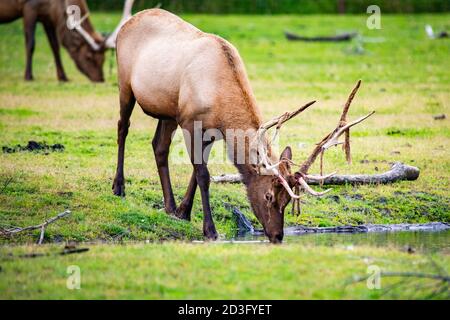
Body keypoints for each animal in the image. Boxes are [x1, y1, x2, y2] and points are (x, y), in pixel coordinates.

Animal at [0, 0, 135, 82]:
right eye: (88, 56)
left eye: (103, 59)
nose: (100, 79)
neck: (55, 6)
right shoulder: (29, 7)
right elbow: (30, 44)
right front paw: (28, 76)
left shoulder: (47, 16)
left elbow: (55, 46)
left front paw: (63, 77)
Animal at [112, 8, 372, 244]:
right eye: (268, 196)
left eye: (288, 201)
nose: (277, 236)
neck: (220, 100)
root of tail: (128, 22)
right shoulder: (189, 122)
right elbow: (203, 174)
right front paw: (210, 230)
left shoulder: (210, 131)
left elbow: (196, 172)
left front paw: (183, 212)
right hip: (125, 84)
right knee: (123, 127)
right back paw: (118, 187)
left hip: (167, 112)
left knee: (159, 146)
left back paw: (168, 206)